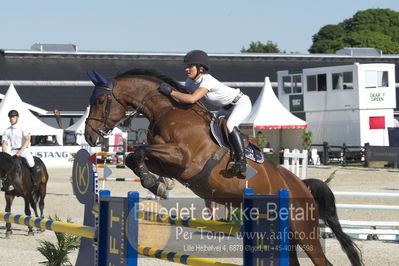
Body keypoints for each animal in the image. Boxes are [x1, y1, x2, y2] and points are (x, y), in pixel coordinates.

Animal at [85, 69, 366, 264]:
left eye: (99, 100)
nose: (89, 136)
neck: (168, 112)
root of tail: (302, 186)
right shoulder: (168, 161)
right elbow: (135, 158)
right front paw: (159, 184)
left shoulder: (185, 159)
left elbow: (139, 153)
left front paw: (155, 184)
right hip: (285, 236)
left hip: (305, 233)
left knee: (322, 261)